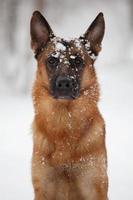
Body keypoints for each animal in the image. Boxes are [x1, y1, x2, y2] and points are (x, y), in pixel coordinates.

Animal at [30, 11, 108, 200]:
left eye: (78, 61)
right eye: (52, 60)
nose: (64, 83)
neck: (65, 120)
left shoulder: (95, 188)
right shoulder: (43, 189)